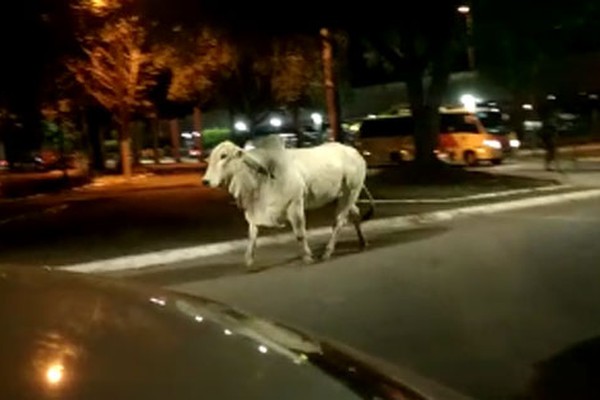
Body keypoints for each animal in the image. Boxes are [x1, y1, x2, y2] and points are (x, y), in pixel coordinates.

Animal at [204, 136, 378, 270]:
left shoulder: (295, 205)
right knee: (355, 214)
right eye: (211, 157)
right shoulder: (255, 213)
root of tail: (354, 152)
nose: (205, 181)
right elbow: (252, 237)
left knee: (339, 222)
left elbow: (300, 234)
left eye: (223, 156)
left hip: (351, 191)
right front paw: (248, 260)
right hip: (339, 196)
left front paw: (307, 256)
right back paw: (362, 242)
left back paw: (327, 252)